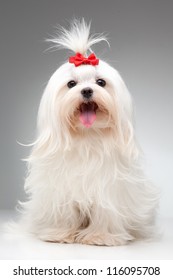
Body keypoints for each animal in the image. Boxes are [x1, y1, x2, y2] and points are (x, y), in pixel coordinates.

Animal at [17, 19, 158, 245]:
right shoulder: (61, 187)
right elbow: (64, 211)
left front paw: (100, 236)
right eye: (71, 84)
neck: (88, 137)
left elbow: (105, 211)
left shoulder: (107, 188)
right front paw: (59, 234)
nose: (86, 90)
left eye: (100, 82)